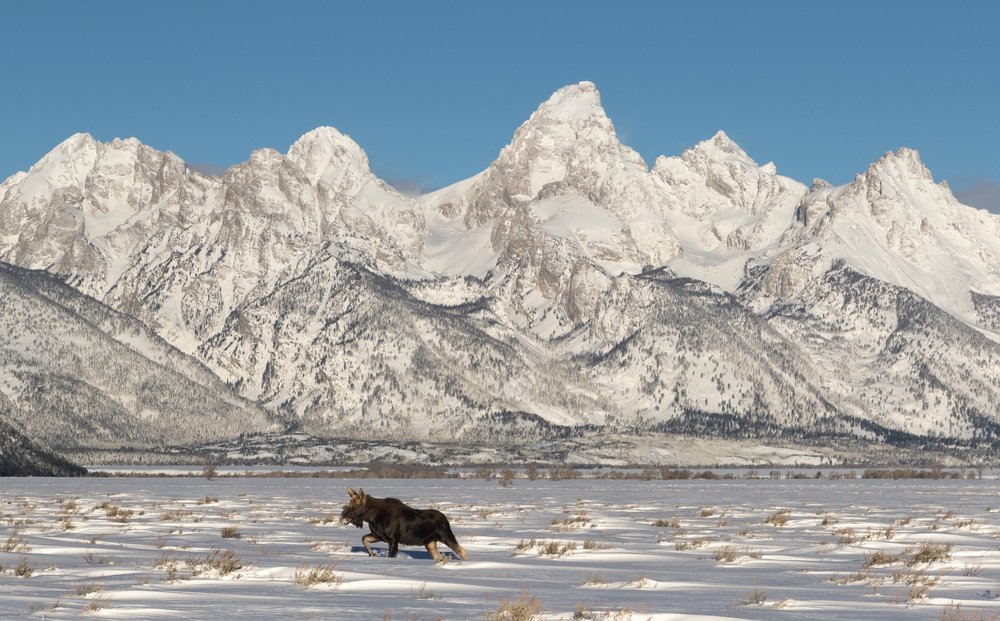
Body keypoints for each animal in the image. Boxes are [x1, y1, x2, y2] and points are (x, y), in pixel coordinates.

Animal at [340, 486, 468, 560]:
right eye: (349, 503)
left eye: (356, 505)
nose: (342, 517)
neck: (372, 517)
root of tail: (445, 519)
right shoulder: (379, 535)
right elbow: (364, 539)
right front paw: (372, 554)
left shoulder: (393, 539)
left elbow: (391, 556)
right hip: (430, 543)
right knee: (439, 556)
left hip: (445, 536)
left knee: (461, 551)